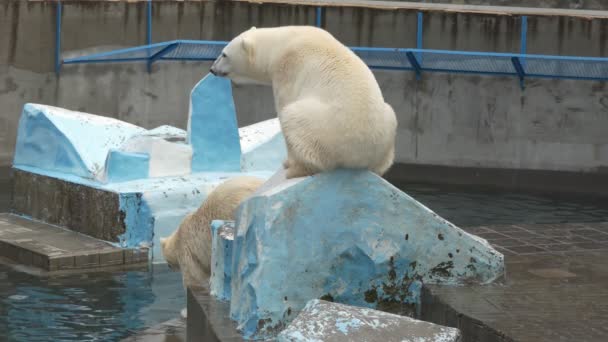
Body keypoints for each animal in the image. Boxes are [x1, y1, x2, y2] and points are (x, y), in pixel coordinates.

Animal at [209, 26, 400, 179]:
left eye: (224, 54)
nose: (212, 69)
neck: (281, 43)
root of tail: (361, 157)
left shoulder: (287, 69)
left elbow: (283, 105)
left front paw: (287, 162)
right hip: (388, 123)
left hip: (324, 127)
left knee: (295, 119)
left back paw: (295, 170)